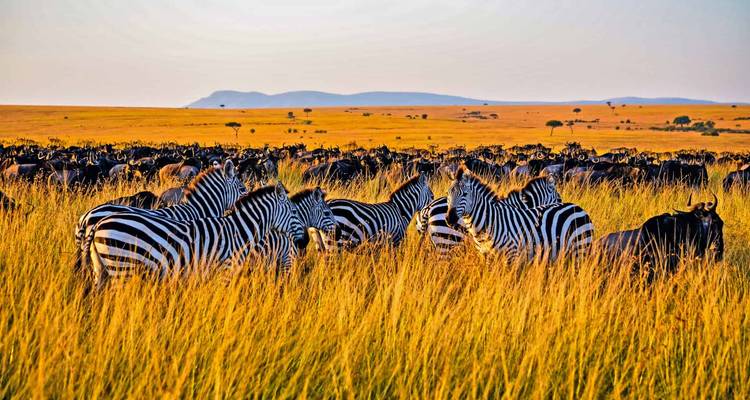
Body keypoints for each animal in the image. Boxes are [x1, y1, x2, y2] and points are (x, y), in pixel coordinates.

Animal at [87, 183, 303, 289]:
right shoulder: (225, 271)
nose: (303, 242)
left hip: (102, 269)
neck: (239, 232)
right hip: (122, 267)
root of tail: (97, 224)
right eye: (294, 212)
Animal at [445, 169, 593, 261]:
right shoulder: (486, 255)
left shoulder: (512, 254)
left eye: (465, 194)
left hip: (580, 248)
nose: (449, 218)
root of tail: (579, 207)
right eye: (448, 194)